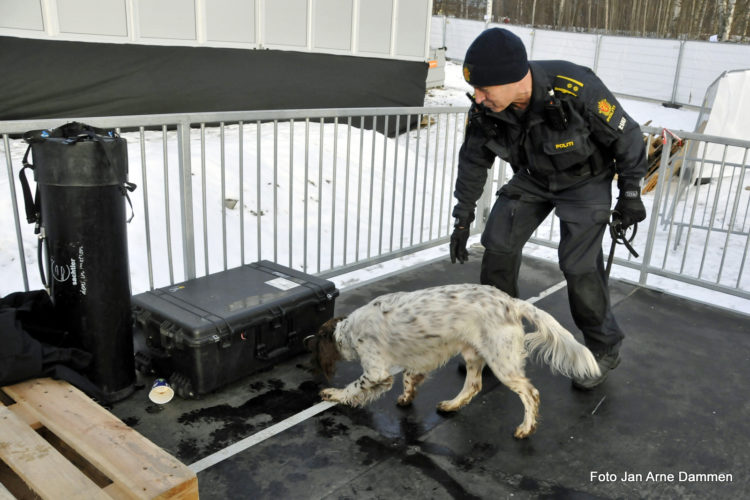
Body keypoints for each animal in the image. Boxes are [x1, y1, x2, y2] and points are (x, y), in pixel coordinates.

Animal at [302, 286, 604, 438]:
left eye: (315, 340)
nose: (304, 343)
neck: (350, 330)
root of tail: (513, 303)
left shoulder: (376, 371)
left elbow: (354, 387)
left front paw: (332, 393)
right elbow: (409, 377)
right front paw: (407, 397)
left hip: (502, 362)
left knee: (531, 393)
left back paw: (525, 429)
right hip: (473, 354)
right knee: (473, 386)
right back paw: (450, 405)